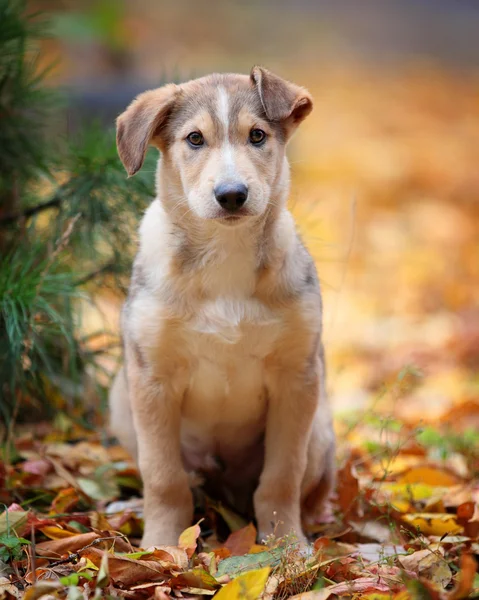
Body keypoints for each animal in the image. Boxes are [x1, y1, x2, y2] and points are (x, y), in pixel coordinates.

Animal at [111, 67, 338, 548]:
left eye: (257, 135)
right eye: (194, 139)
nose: (231, 194)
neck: (225, 256)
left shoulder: (296, 378)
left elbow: (282, 476)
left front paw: (288, 545)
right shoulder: (152, 378)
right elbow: (162, 476)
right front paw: (161, 547)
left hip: (319, 427)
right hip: (120, 399)